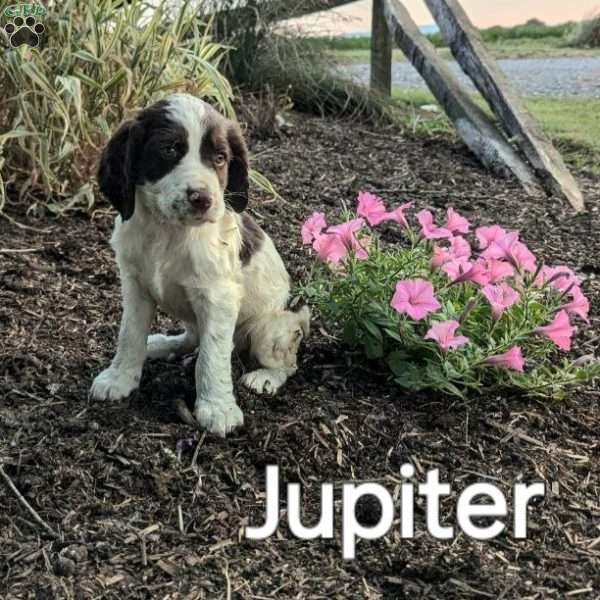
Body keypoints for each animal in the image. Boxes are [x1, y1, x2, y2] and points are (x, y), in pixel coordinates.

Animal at [92, 92, 314, 436]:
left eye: (220, 158)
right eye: (169, 149)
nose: (203, 199)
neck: (167, 231)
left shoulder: (218, 297)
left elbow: (211, 357)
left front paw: (217, 407)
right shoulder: (135, 285)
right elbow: (129, 334)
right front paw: (119, 378)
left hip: (269, 329)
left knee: (287, 362)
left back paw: (264, 377)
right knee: (191, 336)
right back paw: (162, 344)